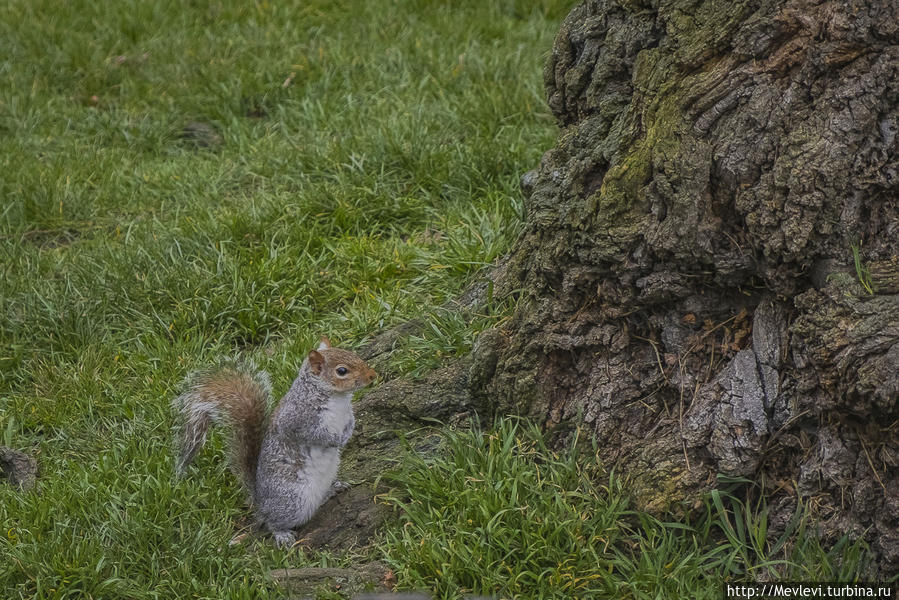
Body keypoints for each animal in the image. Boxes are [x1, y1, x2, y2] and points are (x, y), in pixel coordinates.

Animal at [172, 336, 376, 548]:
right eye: (342, 371)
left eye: (354, 354)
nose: (373, 375)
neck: (337, 398)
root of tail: (261, 503)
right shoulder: (297, 420)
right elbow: (315, 435)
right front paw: (337, 440)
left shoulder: (346, 413)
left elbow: (350, 421)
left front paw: (349, 431)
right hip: (293, 499)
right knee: (272, 521)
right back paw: (282, 533)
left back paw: (333, 489)